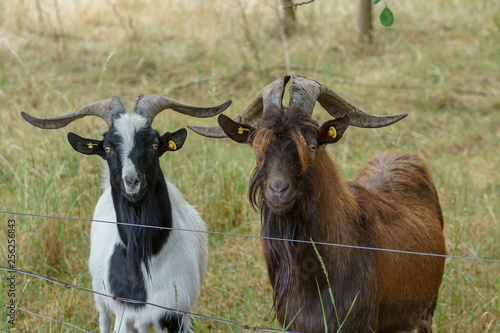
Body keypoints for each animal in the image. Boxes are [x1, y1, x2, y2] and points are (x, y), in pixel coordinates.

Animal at [19, 94, 230, 332]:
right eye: (107, 148)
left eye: (154, 145)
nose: (132, 181)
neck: (147, 260)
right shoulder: (124, 315)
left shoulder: (175, 314)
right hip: (99, 294)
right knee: (102, 318)